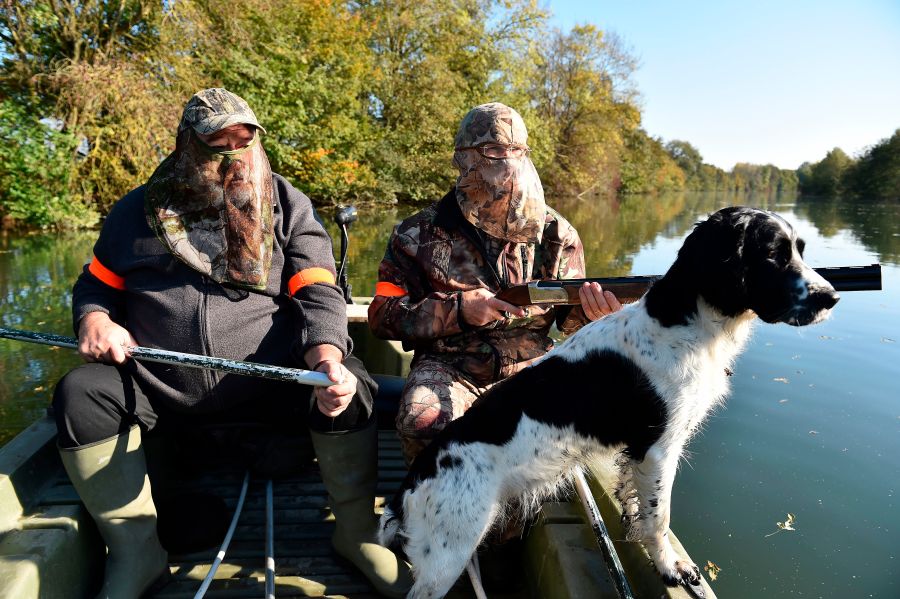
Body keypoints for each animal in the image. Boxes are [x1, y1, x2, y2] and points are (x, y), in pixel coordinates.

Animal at [376, 205, 840, 596]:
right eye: (773, 255)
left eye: (799, 250)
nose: (831, 297)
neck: (682, 324)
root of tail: (410, 485)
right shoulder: (658, 448)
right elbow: (658, 518)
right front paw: (671, 569)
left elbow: (637, 510)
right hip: (448, 555)